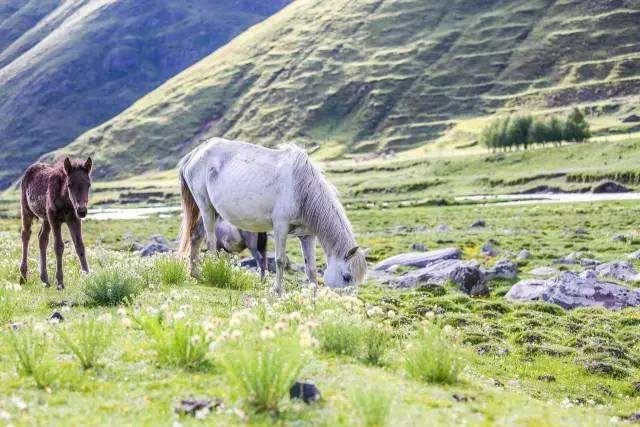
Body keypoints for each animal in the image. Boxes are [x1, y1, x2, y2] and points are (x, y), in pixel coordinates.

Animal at [176, 139, 364, 292]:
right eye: (347, 276)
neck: (301, 188)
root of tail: (194, 154)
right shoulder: (280, 226)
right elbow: (280, 260)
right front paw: (277, 290)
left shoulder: (307, 235)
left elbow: (310, 268)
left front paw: (314, 297)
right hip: (206, 208)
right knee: (210, 241)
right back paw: (213, 273)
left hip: (212, 212)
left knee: (196, 235)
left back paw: (196, 275)